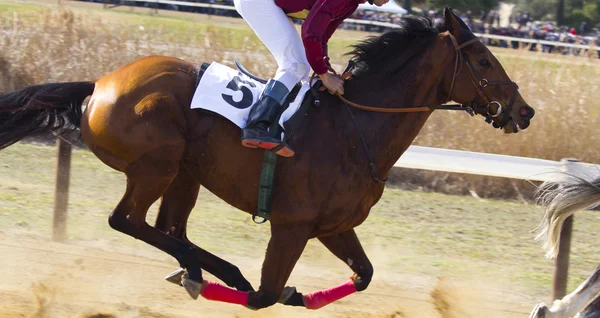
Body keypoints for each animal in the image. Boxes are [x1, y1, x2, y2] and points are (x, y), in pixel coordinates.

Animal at [0, 9, 536, 310]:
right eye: (484, 60)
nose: (524, 111)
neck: (356, 127)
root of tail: (98, 85)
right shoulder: (292, 225)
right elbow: (262, 295)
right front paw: (270, 289)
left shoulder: (333, 226)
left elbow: (363, 275)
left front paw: (302, 294)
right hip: (158, 164)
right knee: (127, 220)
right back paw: (209, 273)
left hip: (185, 173)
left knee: (171, 229)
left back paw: (199, 270)